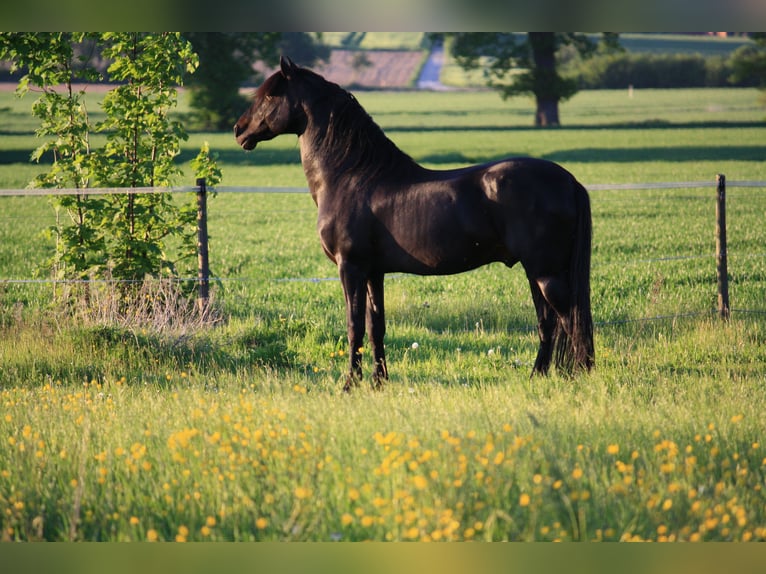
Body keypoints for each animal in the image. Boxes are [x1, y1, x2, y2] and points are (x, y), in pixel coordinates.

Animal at [235, 56, 594, 391]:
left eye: (270, 96)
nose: (239, 130)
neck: (351, 176)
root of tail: (569, 180)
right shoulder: (373, 272)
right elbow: (376, 327)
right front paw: (379, 382)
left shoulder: (350, 267)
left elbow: (354, 326)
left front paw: (349, 384)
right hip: (536, 272)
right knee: (548, 323)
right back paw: (538, 377)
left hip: (545, 272)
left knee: (571, 319)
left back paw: (581, 377)